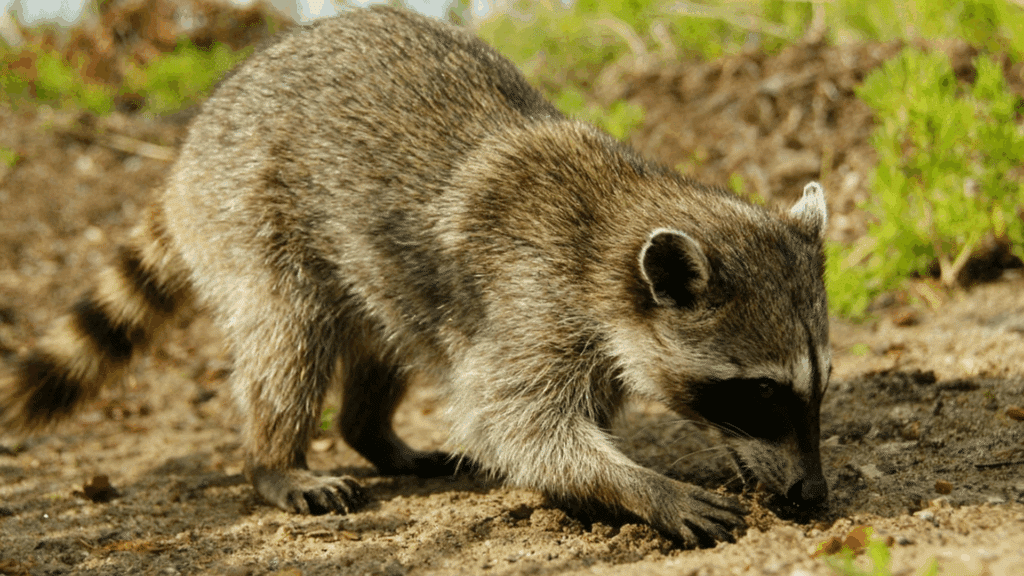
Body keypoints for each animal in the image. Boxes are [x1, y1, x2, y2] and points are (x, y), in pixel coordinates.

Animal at [1, 6, 830, 546]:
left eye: (815, 387)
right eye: (761, 392)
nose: (816, 497)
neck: (615, 233)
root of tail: (187, 152)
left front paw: (593, 486)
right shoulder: (531, 300)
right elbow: (516, 423)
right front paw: (637, 488)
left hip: (379, 267)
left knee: (383, 339)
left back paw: (370, 432)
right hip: (250, 214)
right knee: (287, 339)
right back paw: (274, 461)